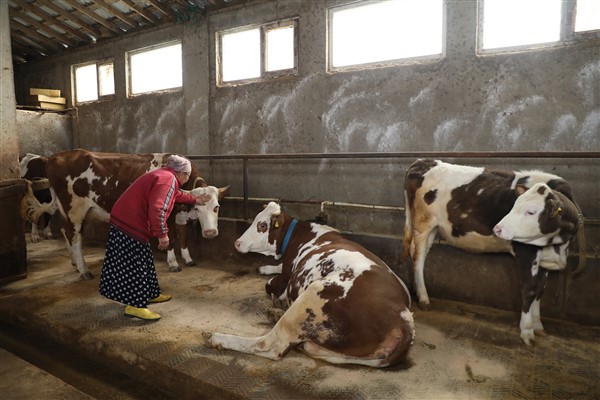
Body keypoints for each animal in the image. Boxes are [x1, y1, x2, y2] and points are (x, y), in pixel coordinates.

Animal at [25, 150, 230, 282]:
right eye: (198, 209)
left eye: (217, 207)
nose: (210, 233)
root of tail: (56, 156)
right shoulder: (168, 213)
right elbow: (171, 238)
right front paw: (173, 263)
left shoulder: (181, 217)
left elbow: (184, 237)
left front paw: (188, 259)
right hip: (74, 209)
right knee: (74, 236)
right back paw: (84, 270)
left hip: (72, 211)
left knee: (66, 232)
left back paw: (75, 263)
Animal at [209, 202, 414, 368]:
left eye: (262, 225)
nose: (237, 243)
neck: (302, 234)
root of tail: (403, 318)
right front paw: (266, 269)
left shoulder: (287, 273)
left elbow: (270, 285)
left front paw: (275, 293)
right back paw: (274, 313)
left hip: (314, 294)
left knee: (270, 345)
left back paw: (219, 338)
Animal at [400, 159, 584, 344]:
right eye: (514, 205)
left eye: (531, 211)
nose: (498, 228)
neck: (558, 246)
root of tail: (423, 161)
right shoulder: (525, 252)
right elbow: (529, 289)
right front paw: (526, 331)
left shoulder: (544, 260)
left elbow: (540, 290)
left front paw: (538, 325)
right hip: (423, 223)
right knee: (418, 258)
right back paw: (424, 299)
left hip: (434, 228)